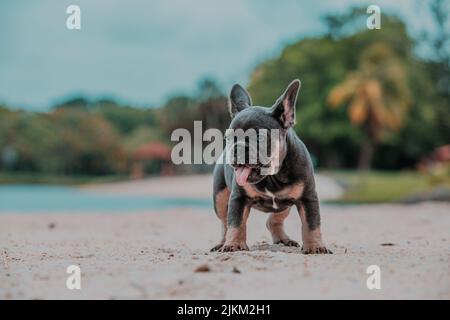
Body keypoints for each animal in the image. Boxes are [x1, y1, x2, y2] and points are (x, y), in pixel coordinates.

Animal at [211, 80, 330, 255]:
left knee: (274, 219)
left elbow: (312, 224)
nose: (238, 147)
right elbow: (235, 222)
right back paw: (222, 243)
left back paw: (283, 239)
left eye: (259, 137)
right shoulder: (238, 198)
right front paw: (233, 244)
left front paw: (315, 246)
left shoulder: (308, 198)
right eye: (228, 137)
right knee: (225, 222)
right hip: (219, 198)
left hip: (285, 203)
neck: (272, 176)